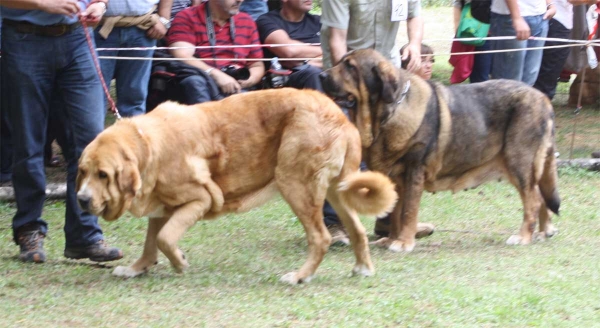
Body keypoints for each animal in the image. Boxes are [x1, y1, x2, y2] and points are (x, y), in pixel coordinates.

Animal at [77, 88, 400, 284]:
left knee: (320, 238)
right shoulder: (162, 208)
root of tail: (340, 117)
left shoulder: (201, 199)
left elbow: (165, 239)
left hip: (295, 185)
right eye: (83, 172)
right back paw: (362, 268)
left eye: (103, 175)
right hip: (337, 191)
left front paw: (179, 263)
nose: (80, 199)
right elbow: (151, 242)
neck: (146, 146)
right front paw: (136, 269)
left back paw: (299, 276)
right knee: (357, 230)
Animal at [322, 49, 560, 251]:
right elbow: (396, 213)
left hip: (519, 162)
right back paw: (543, 232)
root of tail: (543, 99)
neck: (387, 115)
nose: (323, 76)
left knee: (533, 200)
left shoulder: (414, 172)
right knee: (540, 197)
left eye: (350, 67)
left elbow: (408, 212)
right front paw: (392, 239)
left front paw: (403, 242)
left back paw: (523, 237)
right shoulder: (396, 178)